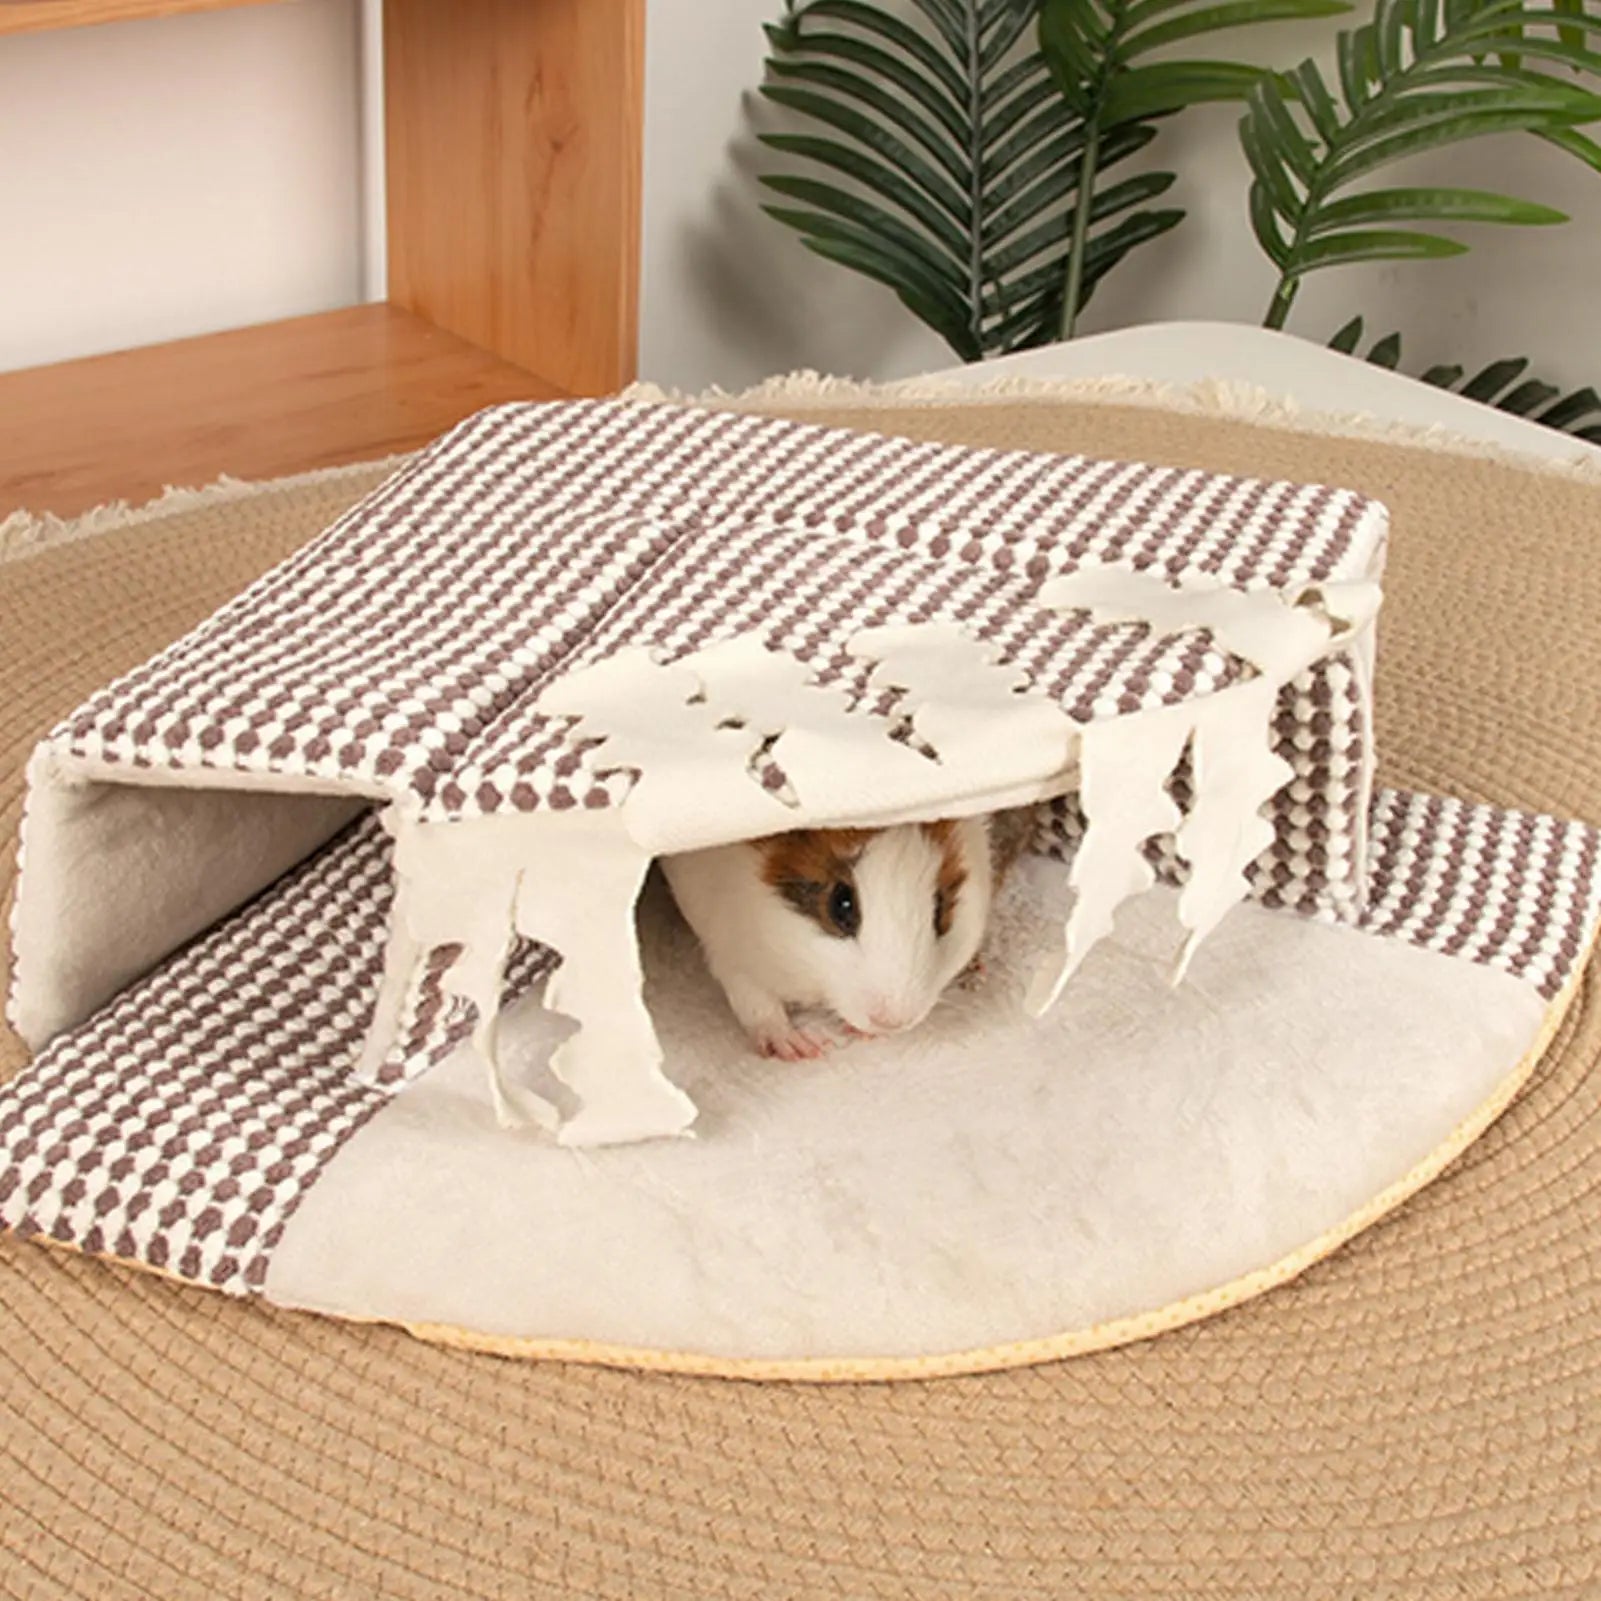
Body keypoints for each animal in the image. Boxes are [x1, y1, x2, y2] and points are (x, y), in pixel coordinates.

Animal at [661, 808, 1036, 1061]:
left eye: (939, 907)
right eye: (841, 905)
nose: (892, 1022)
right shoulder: (729, 954)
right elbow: (759, 1007)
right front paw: (802, 1049)